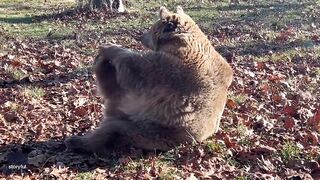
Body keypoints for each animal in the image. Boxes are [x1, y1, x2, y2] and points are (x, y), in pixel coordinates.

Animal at [65, 5, 234, 153]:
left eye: (151, 28)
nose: (140, 36)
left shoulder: (174, 67)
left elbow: (139, 68)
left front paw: (110, 47)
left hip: (154, 129)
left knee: (113, 129)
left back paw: (77, 141)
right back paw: (101, 63)